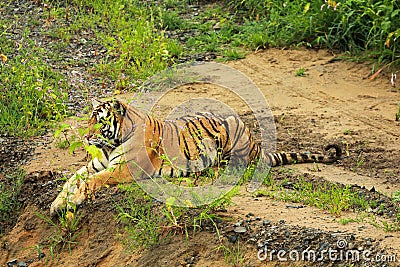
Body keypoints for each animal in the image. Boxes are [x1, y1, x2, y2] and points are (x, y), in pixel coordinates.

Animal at [48, 99, 340, 216]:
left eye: (99, 122)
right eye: (88, 120)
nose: (86, 137)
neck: (111, 143)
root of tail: (255, 141)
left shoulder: (124, 169)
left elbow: (92, 181)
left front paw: (73, 200)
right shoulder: (96, 163)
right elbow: (71, 179)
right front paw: (57, 203)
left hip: (233, 134)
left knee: (239, 166)